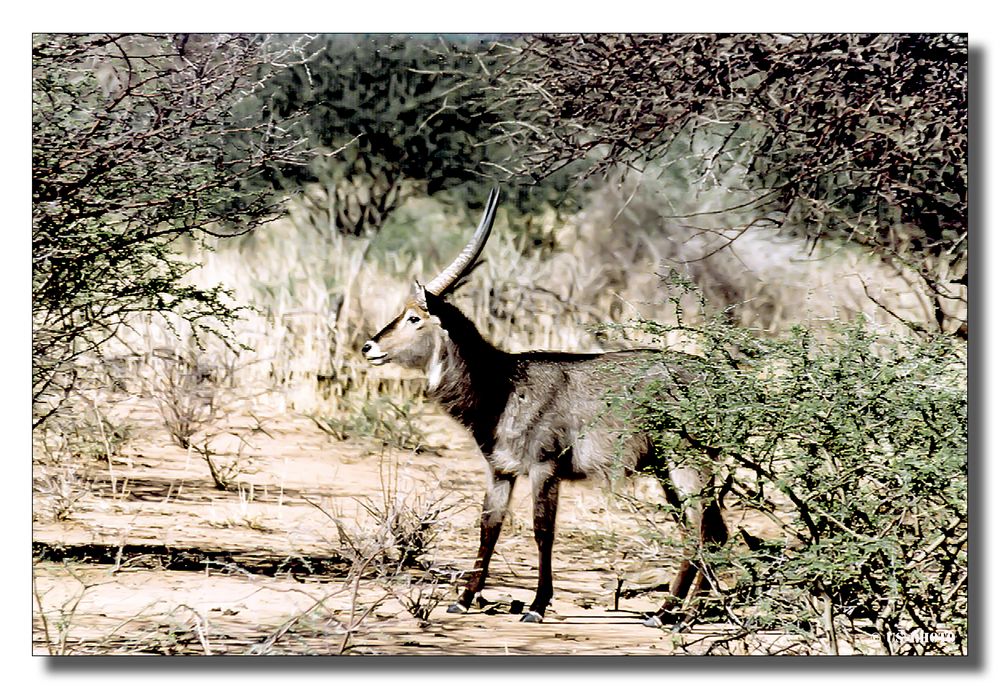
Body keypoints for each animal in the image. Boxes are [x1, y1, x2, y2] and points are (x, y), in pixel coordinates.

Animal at [360, 187, 728, 624]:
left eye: (415, 318)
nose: (368, 347)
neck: (502, 383)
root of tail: (717, 378)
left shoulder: (544, 467)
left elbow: (542, 531)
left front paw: (536, 606)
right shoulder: (500, 470)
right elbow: (488, 526)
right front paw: (464, 598)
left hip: (687, 464)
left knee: (702, 529)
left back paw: (670, 612)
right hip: (667, 471)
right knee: (709, 530)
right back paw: (685, 611)